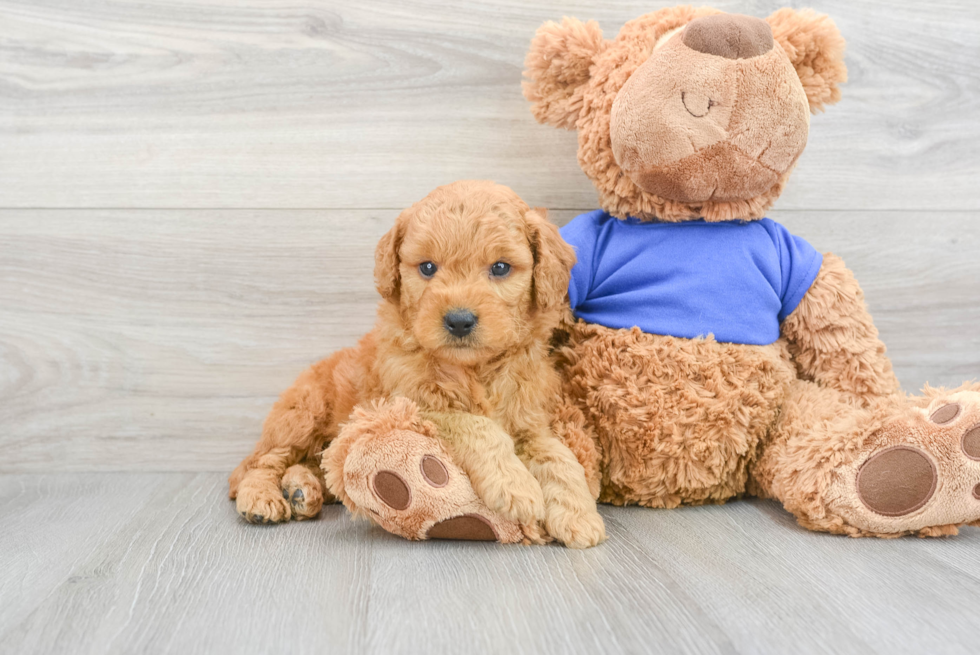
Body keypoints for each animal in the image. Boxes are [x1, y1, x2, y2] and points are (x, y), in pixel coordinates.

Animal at [232, 179, 604, 548]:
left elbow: (560, 456)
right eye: (427, 267)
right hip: (301, 416)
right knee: (261, 462)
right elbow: (478, 426)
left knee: (316, 463)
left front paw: (579, 515)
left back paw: (301, 489)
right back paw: (262, 498)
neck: (473, 369)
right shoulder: (414, 406)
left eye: (500, 267)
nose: (459, 320)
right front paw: (515, 486)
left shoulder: (529, 422)